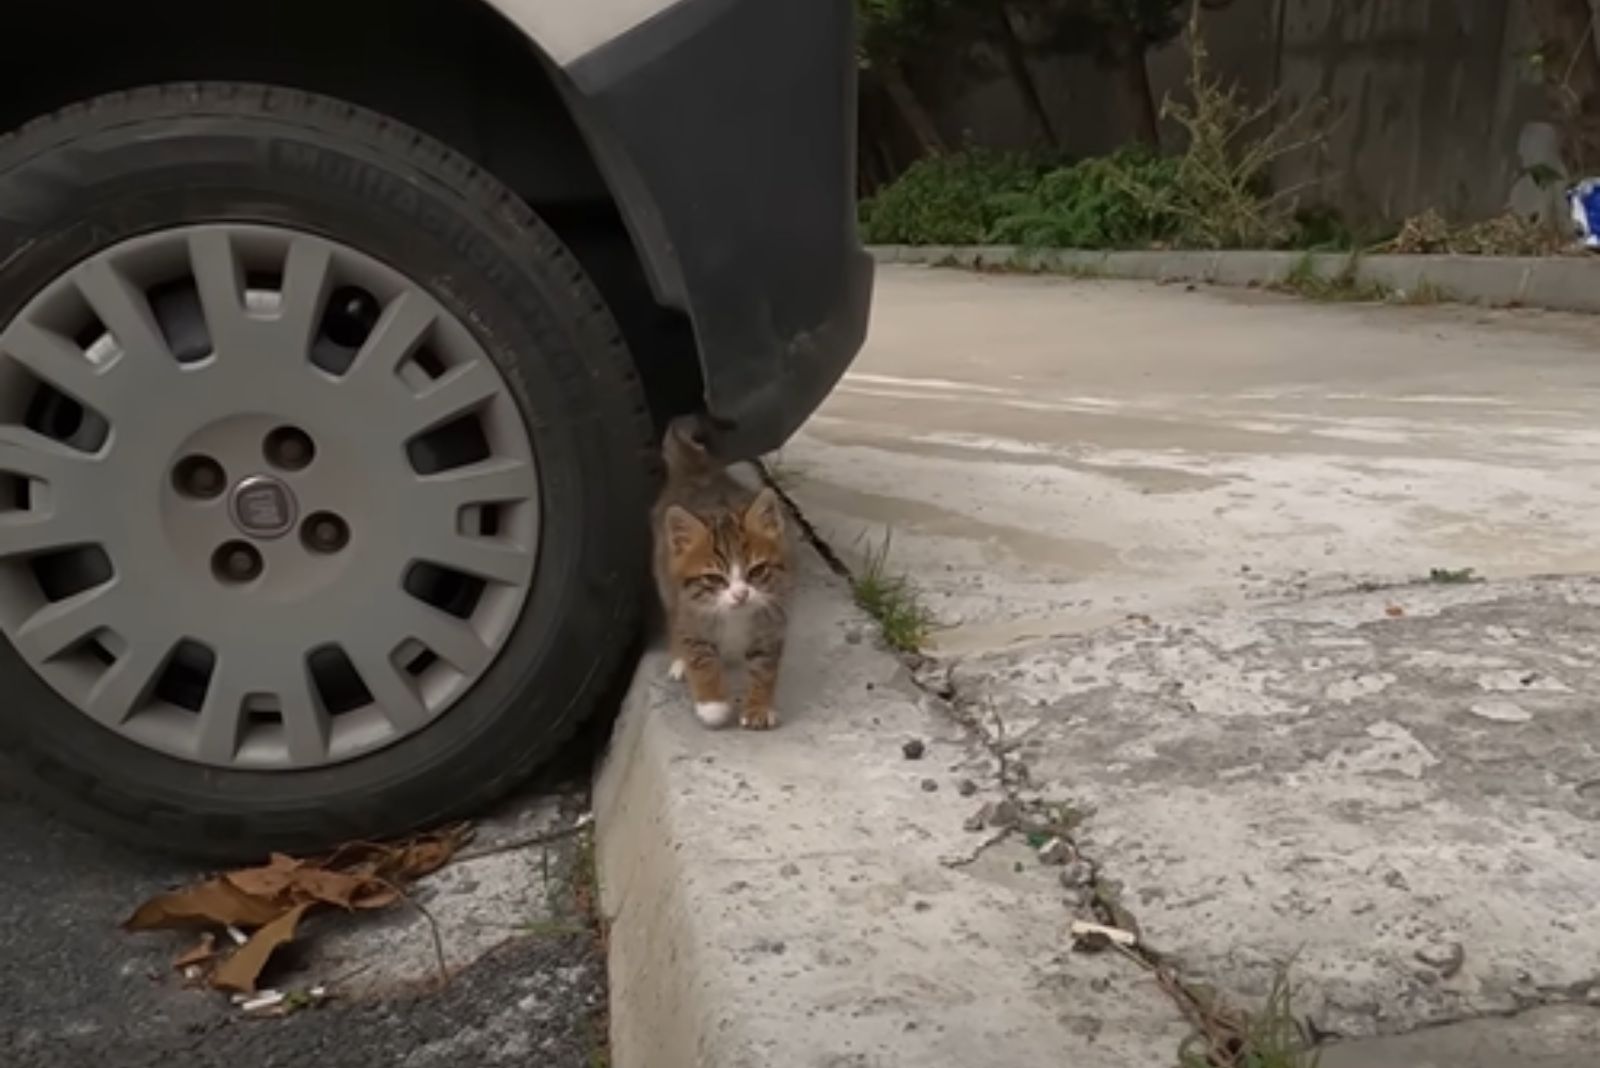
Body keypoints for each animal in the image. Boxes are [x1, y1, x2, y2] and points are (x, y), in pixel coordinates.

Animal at [652, 412, 790, 729]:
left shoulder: (771, 624)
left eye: (757, 570)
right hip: (667, 584)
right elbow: (701, 659)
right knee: (673, 618)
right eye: (714, 578)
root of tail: (698, 473)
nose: (740, 594)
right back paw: (679, 659)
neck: (734, 617)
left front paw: (758, 706)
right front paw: (712, 705)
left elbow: (765, 669)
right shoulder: (693, 619)